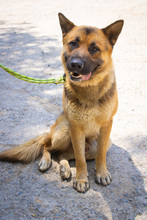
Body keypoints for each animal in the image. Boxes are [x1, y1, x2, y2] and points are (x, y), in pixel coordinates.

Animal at [0, 13, 124, 192]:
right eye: (73, 43)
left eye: (94, 49)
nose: (75, 65)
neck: (89, 89)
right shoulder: (76, 129)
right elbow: (80, 159)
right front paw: (81, 179)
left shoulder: (106, 127)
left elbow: (101, 155)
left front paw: (101, 173)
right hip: (64, 131)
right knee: (47, 146)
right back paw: (46, 161)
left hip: (100, 144)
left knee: (62, 155)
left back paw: (65, 169)